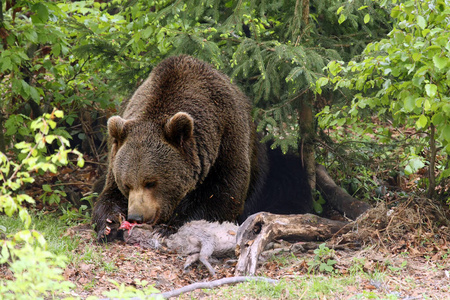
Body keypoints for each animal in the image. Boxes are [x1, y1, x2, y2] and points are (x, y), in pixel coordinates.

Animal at [90, 54, 312, 241]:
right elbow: (107, 195)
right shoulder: (116, 157)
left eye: (151, 182)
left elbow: (222, 198)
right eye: (127, 184)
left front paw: (168, 226)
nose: (136, 216)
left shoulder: (226, 142)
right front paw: (109, 224)